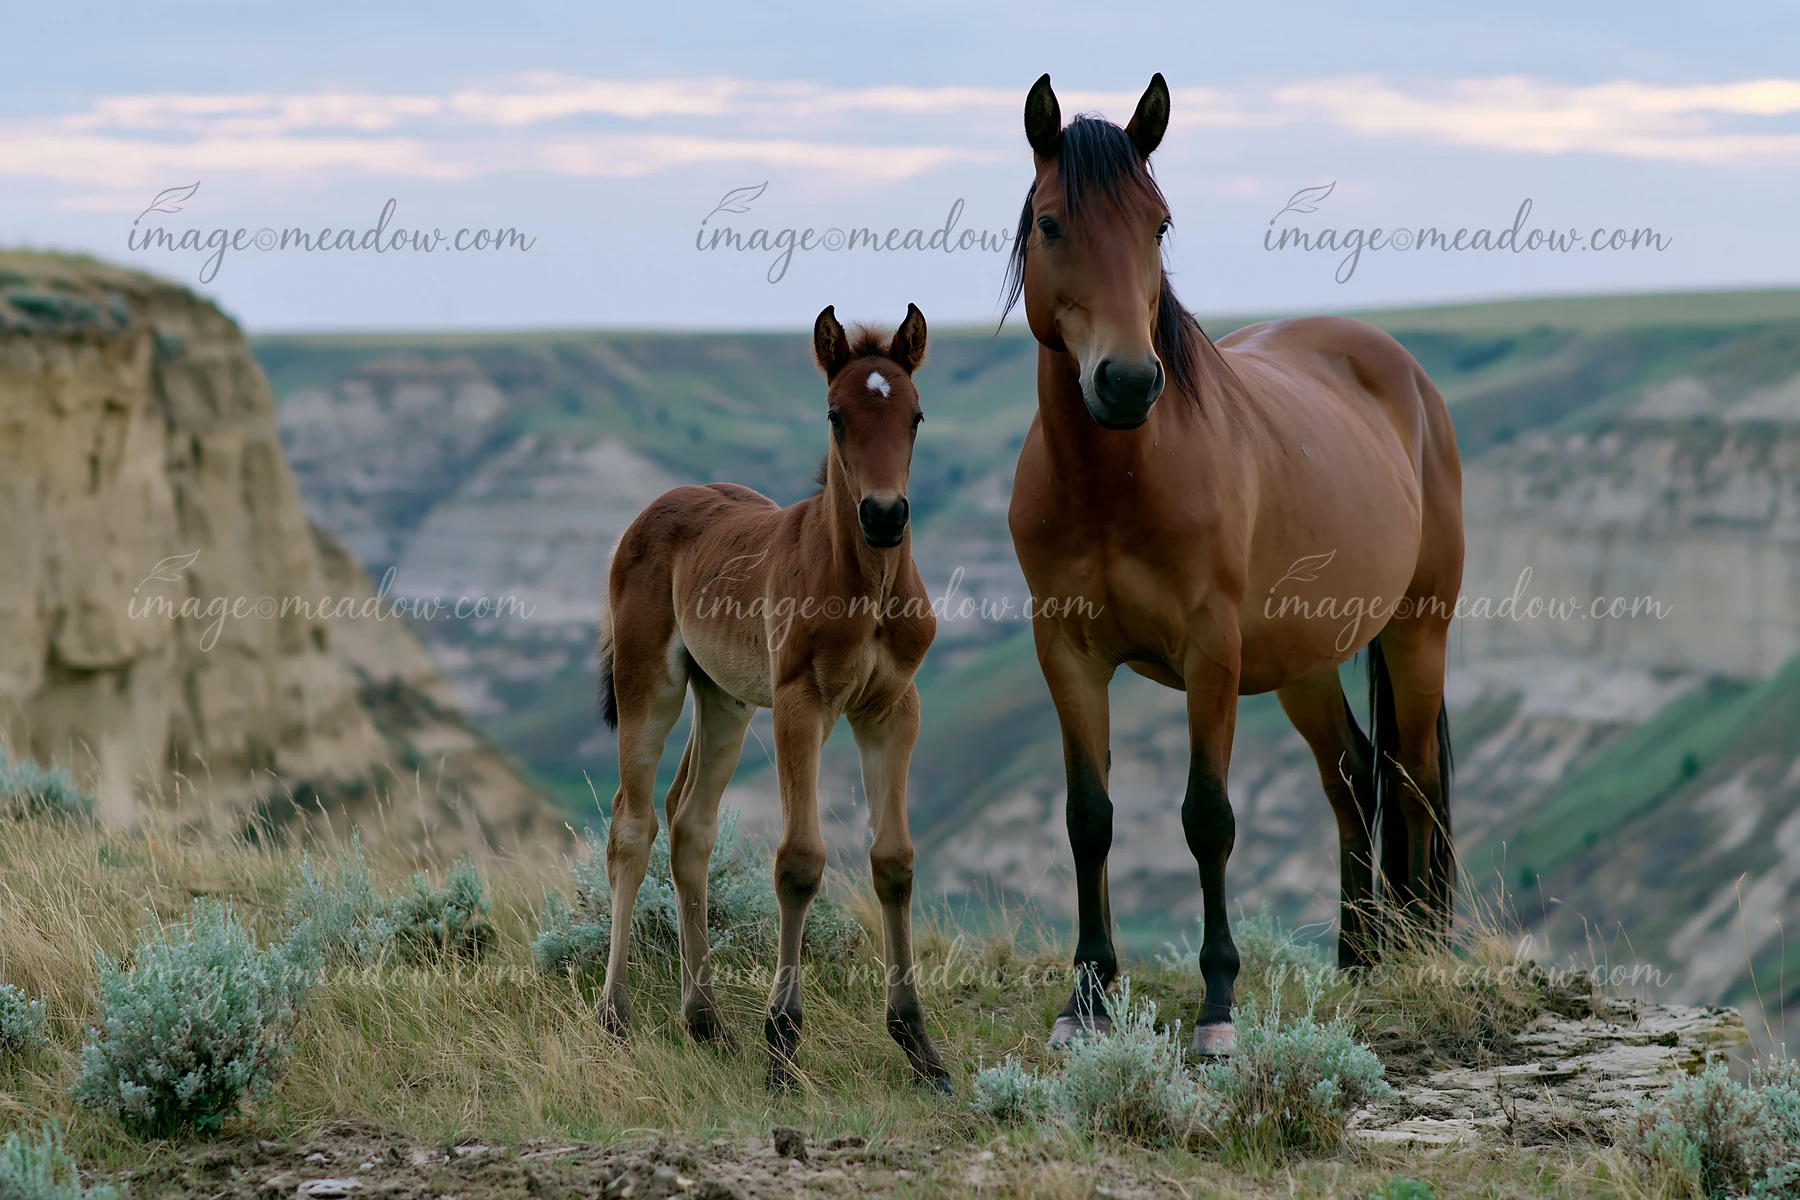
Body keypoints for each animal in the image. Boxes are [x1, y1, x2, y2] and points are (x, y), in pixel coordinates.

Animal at [595, 304, 951, 1092]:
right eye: (835, 414)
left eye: (915, 414)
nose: (886, 515)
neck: (865, 585)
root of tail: (652, 509)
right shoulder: (802, 702)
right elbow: (799, 861)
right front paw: (782, 1044)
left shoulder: (893, 708)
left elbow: (895, 861)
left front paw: (919, 1045)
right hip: (650, 683)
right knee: (632, 824)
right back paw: (614, 1018)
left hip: (724, 699)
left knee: (690, 825)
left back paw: (704, 1021)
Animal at [1003, 74, 1463, 1054]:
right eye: (1052, 223)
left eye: (1159, 224)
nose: (1128, 383)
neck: (1116, 481)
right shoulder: (1066, 654)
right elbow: (1088, 819)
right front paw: (1087, 997)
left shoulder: (1209, 654)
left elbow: (1207, 818)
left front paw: (1218, 1007)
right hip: (1304, 662)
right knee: (1352, 775)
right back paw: (1356, 958)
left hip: (1418, 633)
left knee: (1414, 780)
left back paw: (1415, 952)